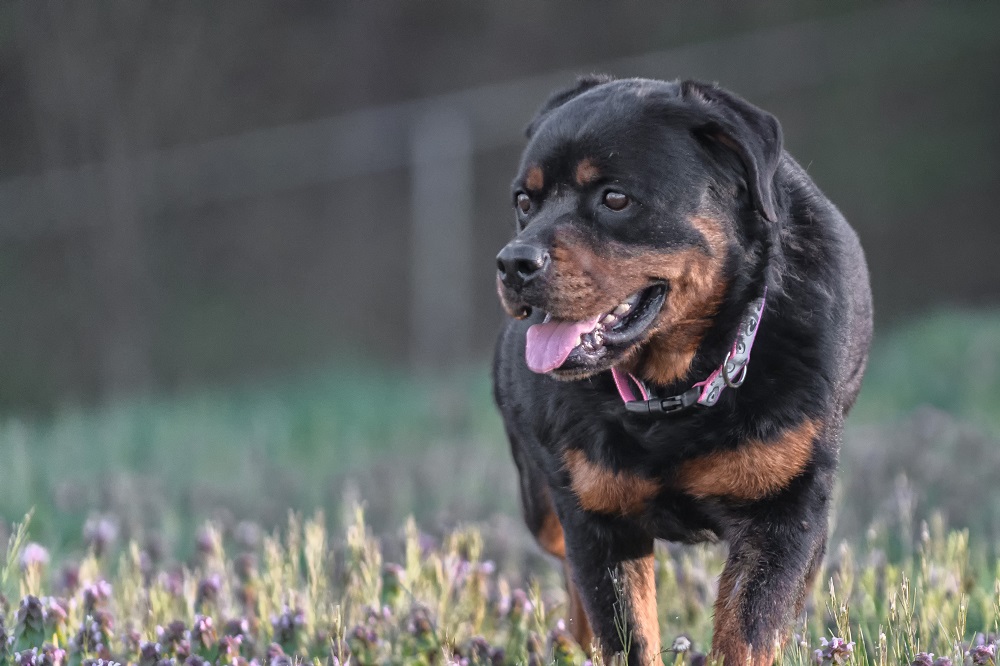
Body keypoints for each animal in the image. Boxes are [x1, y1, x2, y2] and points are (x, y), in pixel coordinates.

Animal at [493, 76, 872, 666]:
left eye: (616, 198)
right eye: (525, 202)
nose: (514, 263)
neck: (672, 389)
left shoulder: (786, 514)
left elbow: (749, 631)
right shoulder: (598, 519)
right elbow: (625, 633)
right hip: (543, 502)